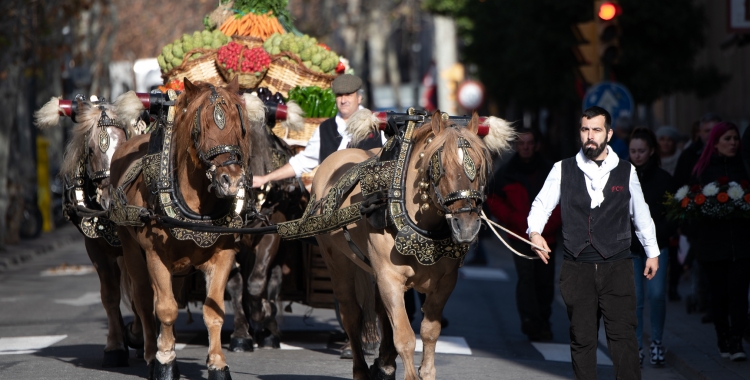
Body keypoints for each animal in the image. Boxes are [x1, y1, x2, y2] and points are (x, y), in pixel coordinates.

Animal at [33, 90, 148, 366]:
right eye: (93, 149)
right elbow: (110, 295)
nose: (108, 199)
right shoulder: (96, 248)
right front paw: (115, 347)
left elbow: (138, 290)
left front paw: (136, 336)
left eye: (124, 145)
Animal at [110, 75, 264, 378]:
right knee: (143, 298)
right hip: (131, 249)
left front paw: (217, 363)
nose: (231, 181)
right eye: (201, 128)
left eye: (238, 126)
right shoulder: (155, 255)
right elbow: (166, 309)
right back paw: (150, 353)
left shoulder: (224, 255)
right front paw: (165, 361)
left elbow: (213, 311)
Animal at [312, 108, 516, 378]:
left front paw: (425, 371)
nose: (467, 226)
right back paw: (361, 368)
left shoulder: (445, 282)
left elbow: (429, 332)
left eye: (480, 167)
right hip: (337, 262)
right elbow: (405, 337)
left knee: (379, 312)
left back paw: (385, 364)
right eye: (441, 167)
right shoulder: (389, 277)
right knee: (351, 315)